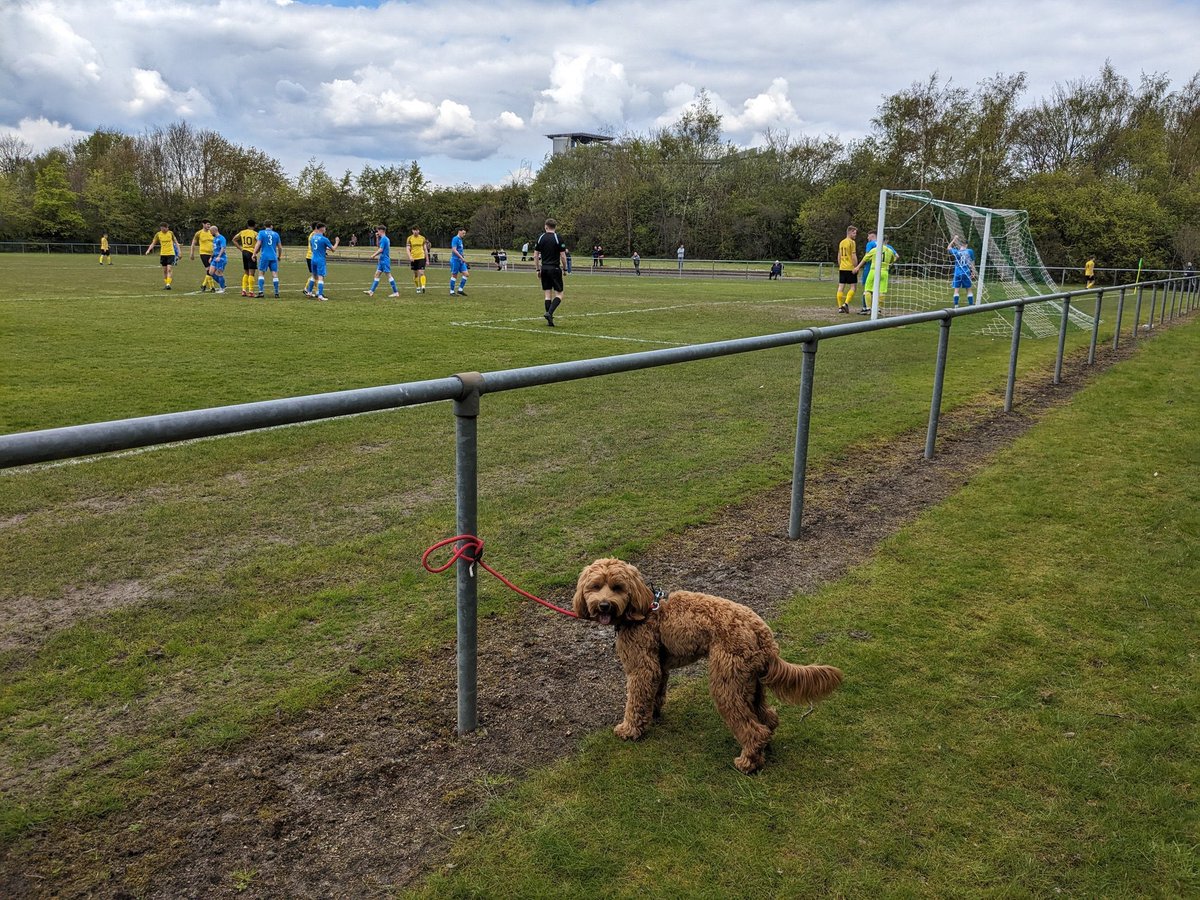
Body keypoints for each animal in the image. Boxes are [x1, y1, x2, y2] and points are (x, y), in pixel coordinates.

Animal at [573, 556, 844, 777]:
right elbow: (655, 693)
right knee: (768, 719)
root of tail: (763, 634)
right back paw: (763, 749)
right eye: (595, 586)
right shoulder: (659, 667)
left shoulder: (642, 668)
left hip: (727, 682)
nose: (604, 605)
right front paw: (653, 715)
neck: (643, 610)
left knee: (753, 729)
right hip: (750, 683)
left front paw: (629, 730)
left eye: (617, 587)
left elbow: (636, 701)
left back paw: (748, 763)